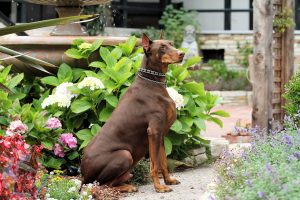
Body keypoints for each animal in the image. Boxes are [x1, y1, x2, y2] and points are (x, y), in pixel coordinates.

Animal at [81, 33, 185, 193]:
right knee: (103, 185)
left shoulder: (160, 133)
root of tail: (82, 174)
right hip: (125, 155)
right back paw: (127, 187)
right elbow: (154, 164)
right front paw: (159, 187)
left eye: (171, 44)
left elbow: (163, 161)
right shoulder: (153, 130)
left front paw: (168, 180)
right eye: (162, 47)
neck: (152, 82)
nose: (182, 54)